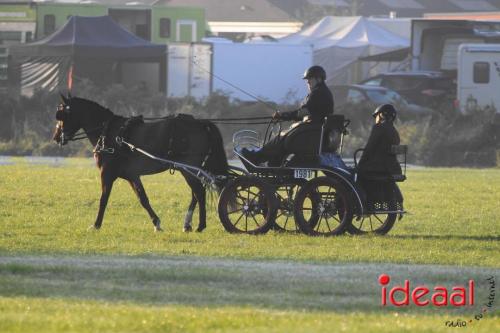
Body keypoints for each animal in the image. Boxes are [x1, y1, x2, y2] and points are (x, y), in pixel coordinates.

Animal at [52, 94, 229, 231]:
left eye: (62, 114)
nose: (56, 137)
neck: (109, 133)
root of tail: (200, 123)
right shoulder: (132, 175)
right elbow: (142, 198)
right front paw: (157, 223)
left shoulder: (107, 173)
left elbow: (103, 199)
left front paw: (96, 225)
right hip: (190, 169)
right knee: (196, 193)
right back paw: (188, 225)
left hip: (188, 169)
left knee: (199, 192)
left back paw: (200, 225)